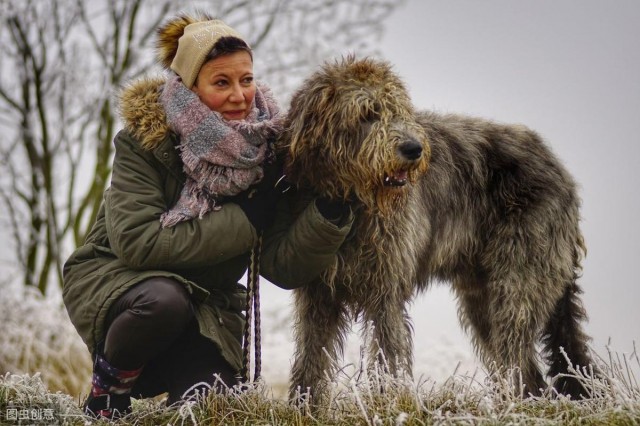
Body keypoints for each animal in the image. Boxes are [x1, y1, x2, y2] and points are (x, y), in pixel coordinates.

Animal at [278, 55, 592, 402]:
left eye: (400, 112)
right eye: (368, 114)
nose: (414, 149)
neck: (355, 202)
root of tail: (561, 172)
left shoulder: (386, 288)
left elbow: (388, 352)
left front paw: (388, 401)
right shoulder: (317, 294)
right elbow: (310, 359)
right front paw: (303, 406)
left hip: (519, 279)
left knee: (517, 355)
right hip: (483, 297)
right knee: (527, 372)